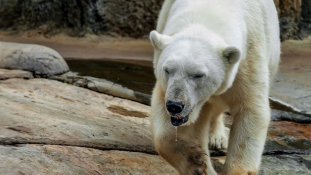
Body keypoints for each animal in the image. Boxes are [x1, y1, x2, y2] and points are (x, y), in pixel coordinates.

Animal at [150, 0, 282, 175]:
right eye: (167, 70)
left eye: (199, 75)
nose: (175, 106)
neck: (212, 9)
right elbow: (168, 136)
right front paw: (199, 165)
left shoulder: (249, 57)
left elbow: (251, 110)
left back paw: (217, 138)